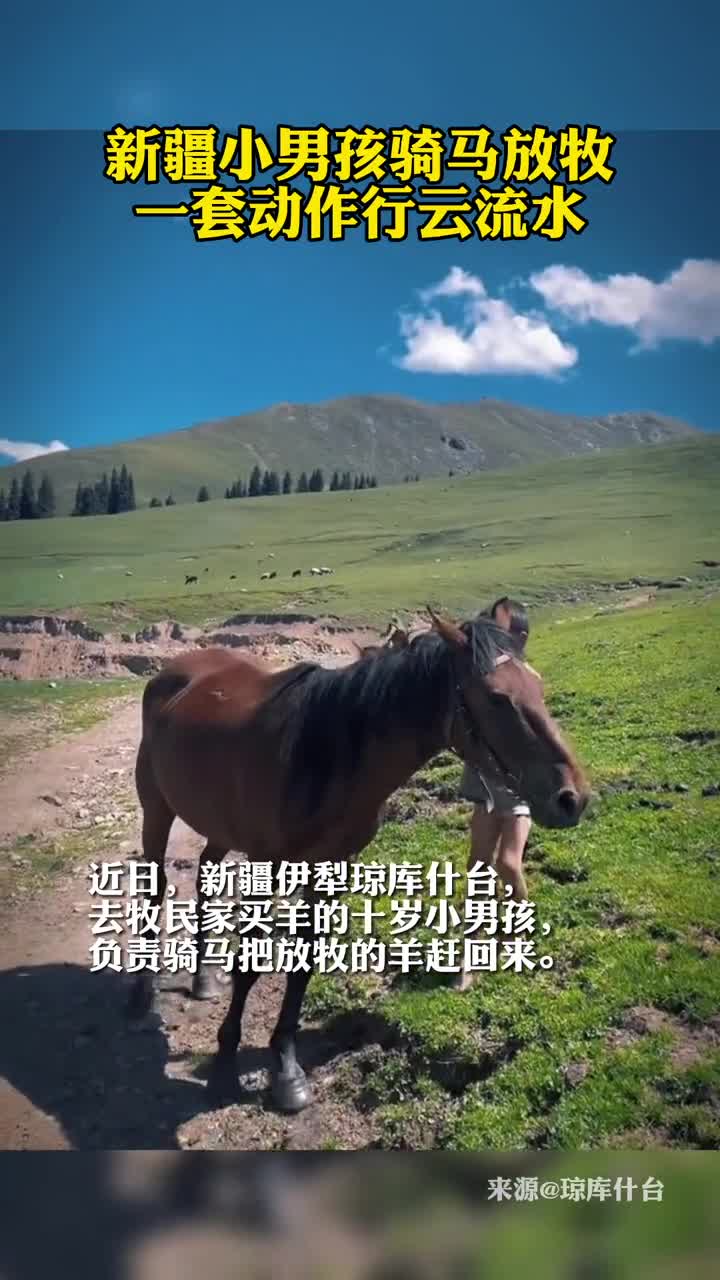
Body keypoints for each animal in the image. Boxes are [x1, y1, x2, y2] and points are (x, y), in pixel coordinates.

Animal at [129, 608, 590, 1112]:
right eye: (497, 698)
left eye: (537, 684)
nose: (572, 799)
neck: (322, 755)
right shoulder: (268, 863)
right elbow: (251, 962)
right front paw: (226, 1060)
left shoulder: (331, 864)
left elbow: (305, 960)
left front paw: (286, 1068)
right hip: (158, 808)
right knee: (154, 888)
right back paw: (143, 992)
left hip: (217, 826)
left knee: (206, 880)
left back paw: (204, 979)